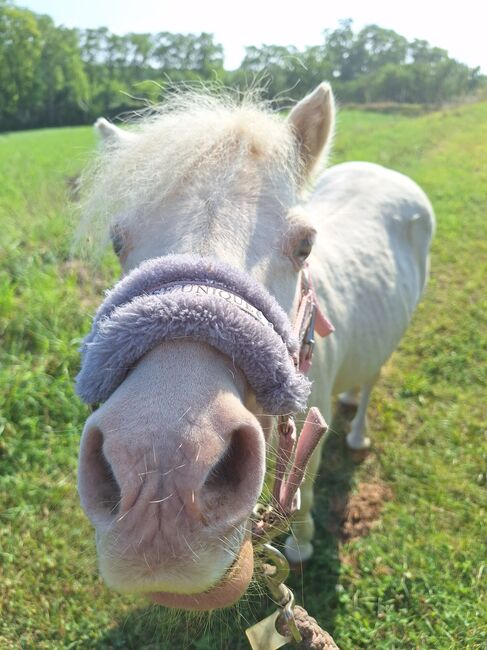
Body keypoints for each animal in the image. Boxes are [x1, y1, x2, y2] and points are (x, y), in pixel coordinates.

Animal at [78, 85, 436, 608]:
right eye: (117, 241)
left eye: (305, 245)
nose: (160, 483)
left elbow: (303, 484)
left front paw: (301, 543)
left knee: (371, 382)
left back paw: (357, 430)